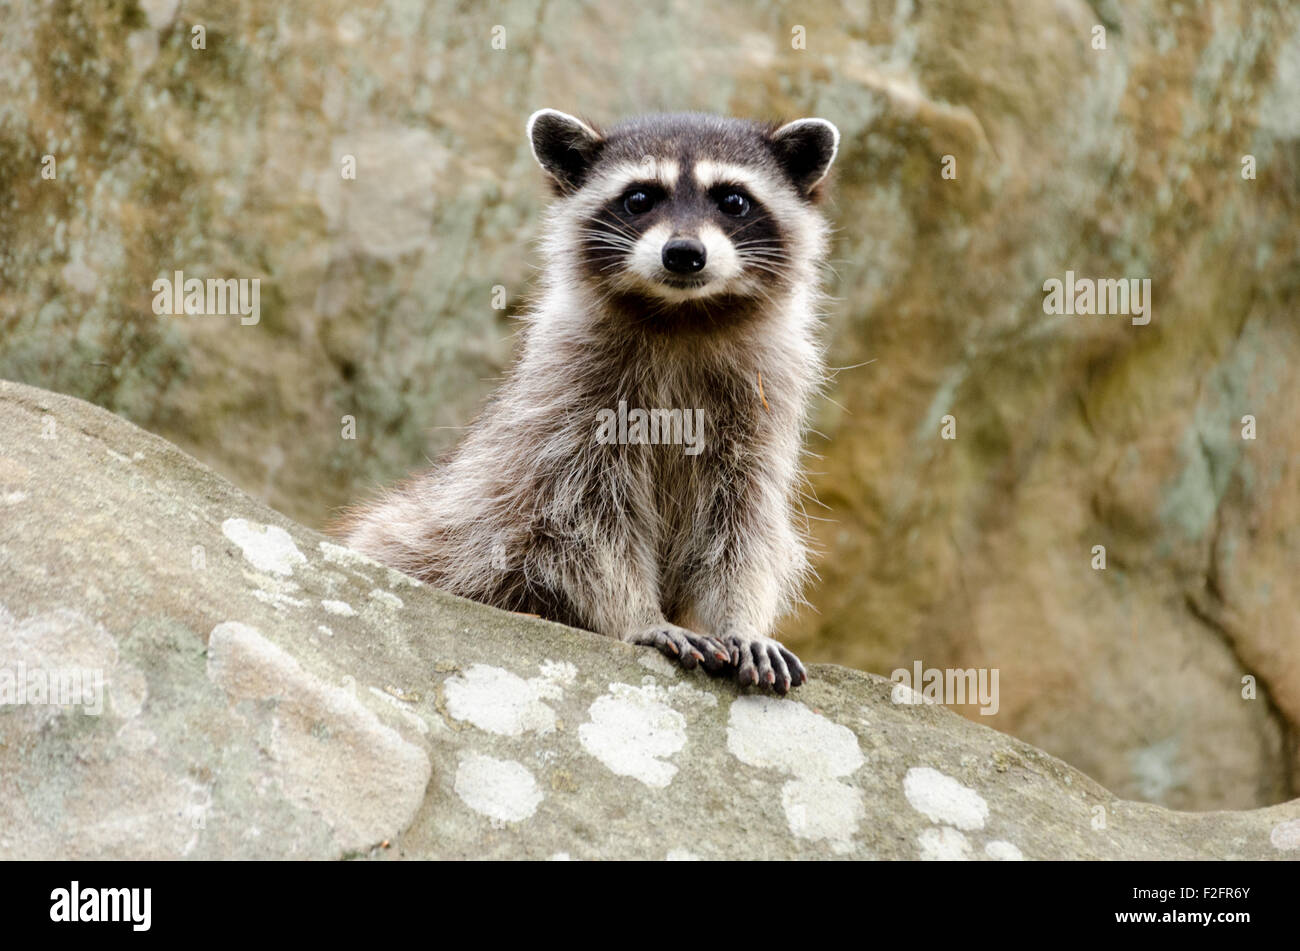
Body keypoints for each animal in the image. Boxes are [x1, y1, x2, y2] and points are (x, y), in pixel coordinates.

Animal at [340, 109, 837, 691]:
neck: (681, 318)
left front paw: (739, 620)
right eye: (639, 198)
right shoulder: (568, 405)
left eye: (733, 200)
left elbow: (743, 522)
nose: (684, 254)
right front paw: (639, 616)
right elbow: (582, 522)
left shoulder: (761, 408)